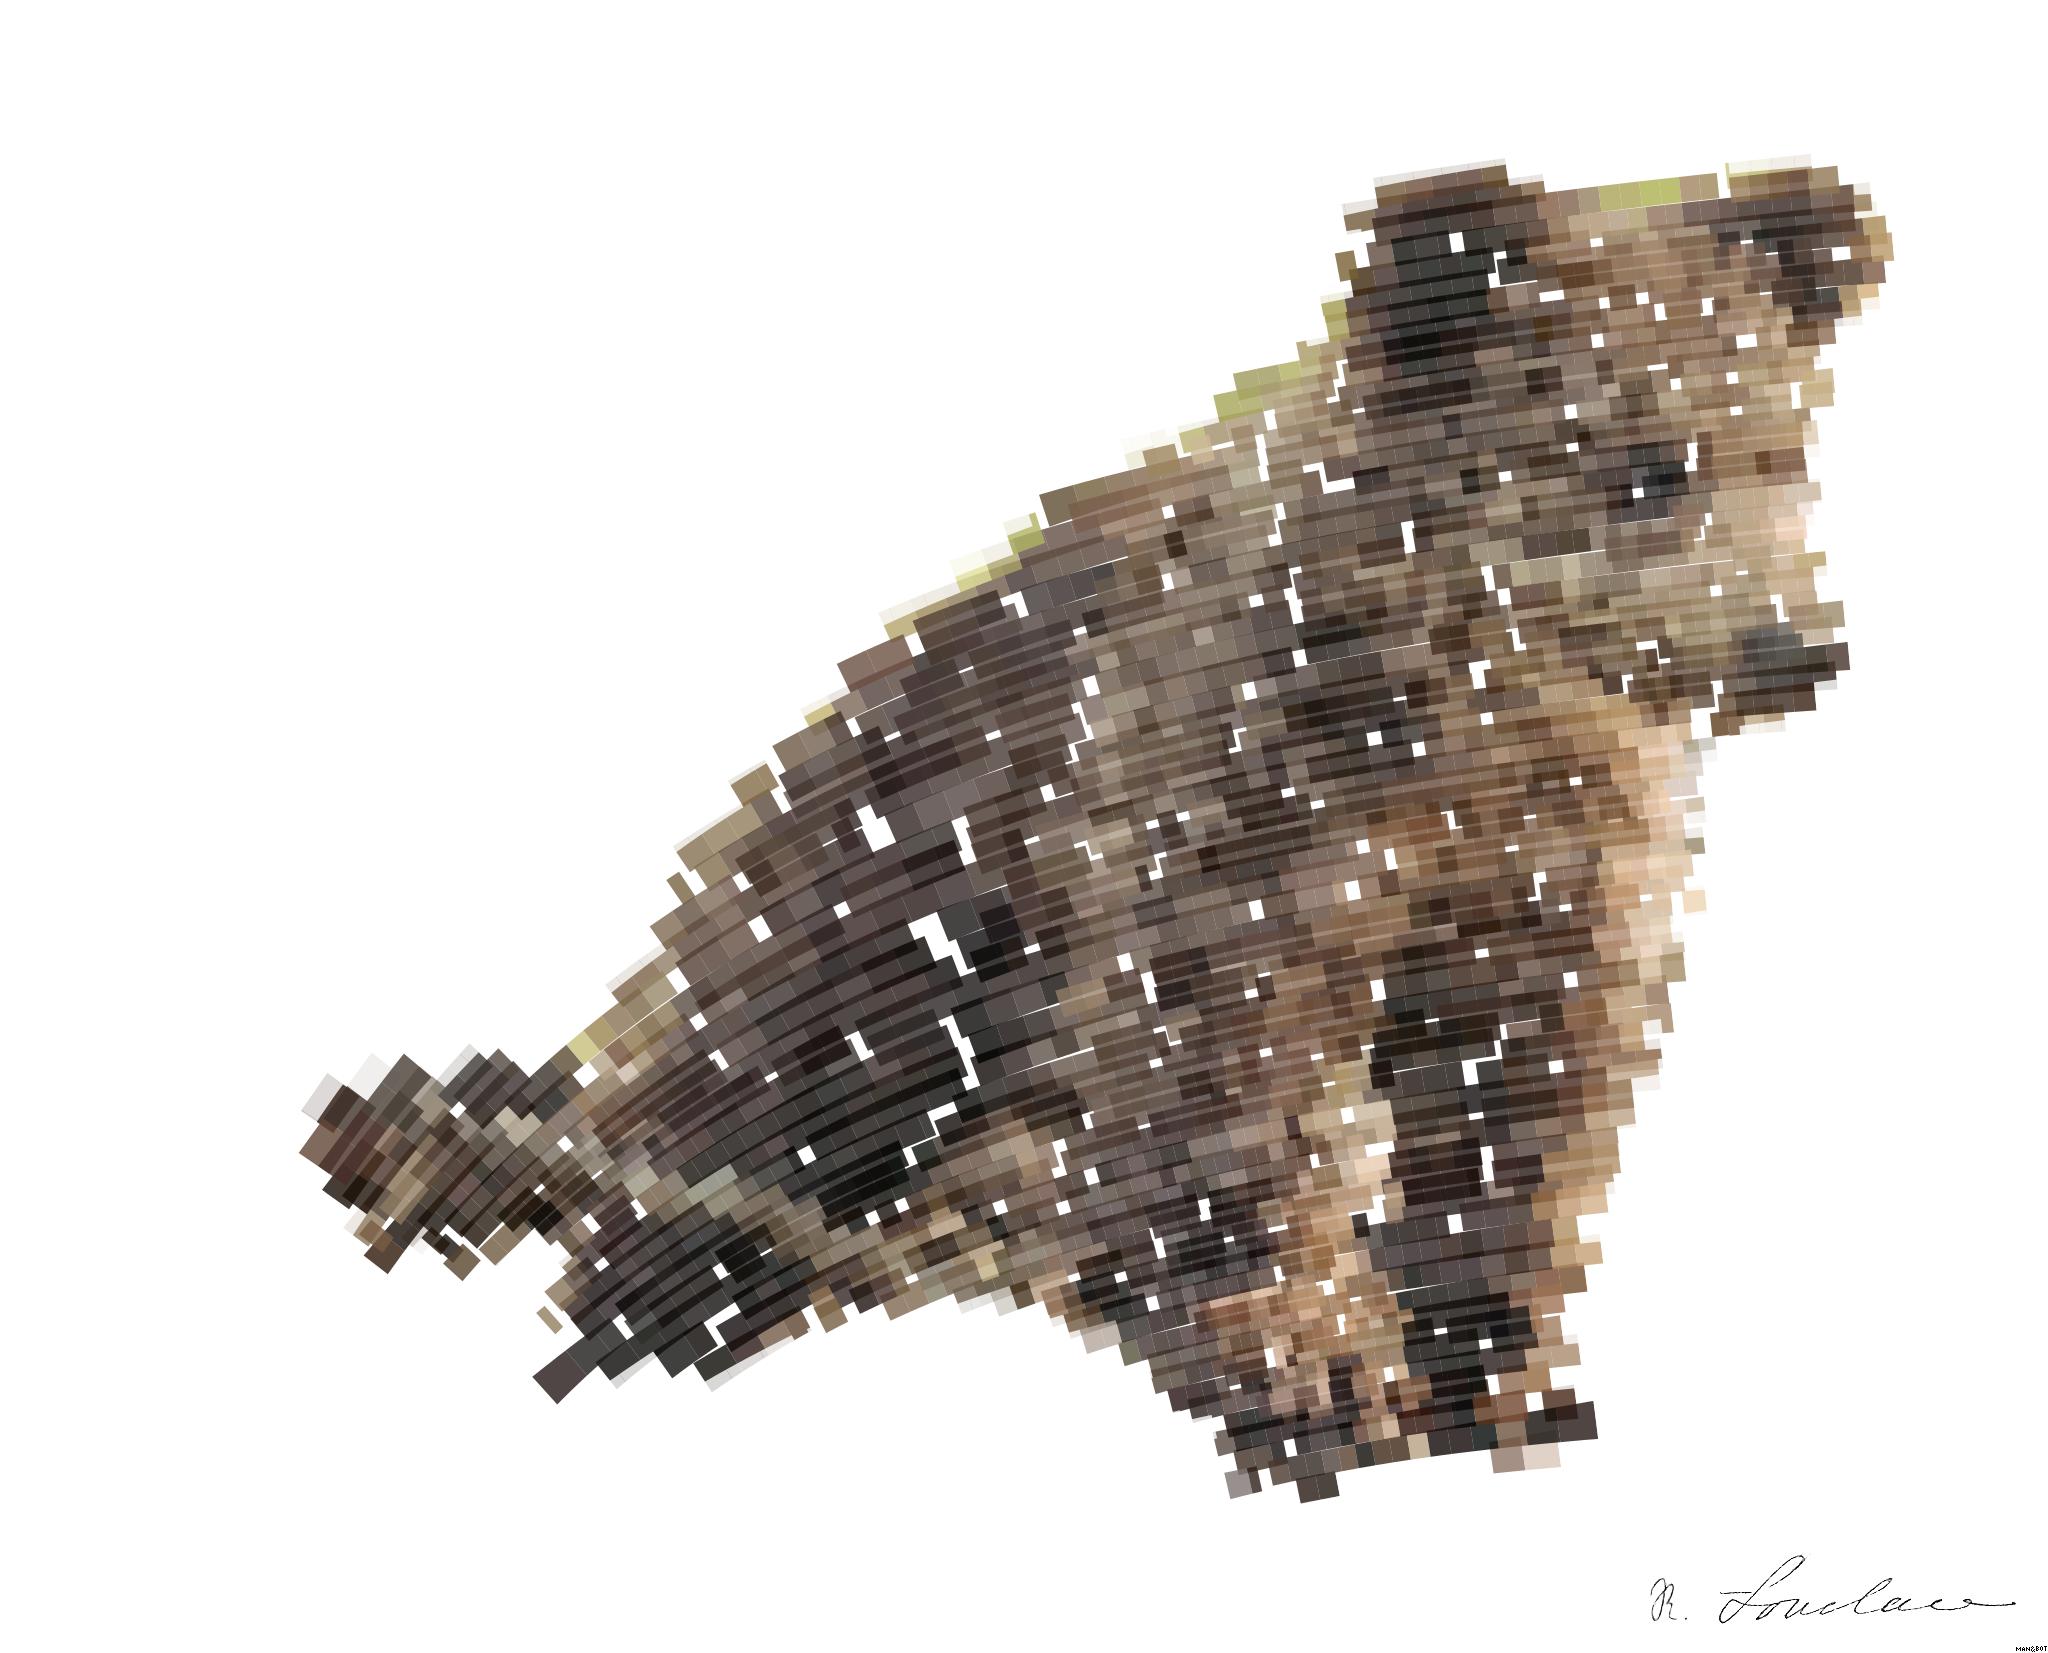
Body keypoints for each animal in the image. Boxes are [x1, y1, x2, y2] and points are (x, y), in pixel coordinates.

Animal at [302, 160, 1888, 1500]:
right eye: (1644, 459)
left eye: (1786, 449)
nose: (1797, 651)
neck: (1469, 723)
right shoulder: (1235, 855)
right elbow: (1234, 1087)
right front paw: (1311, 1373)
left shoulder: (1554, 882)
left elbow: (1521, 1107)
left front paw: (1499, 1378)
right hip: (820, 960)